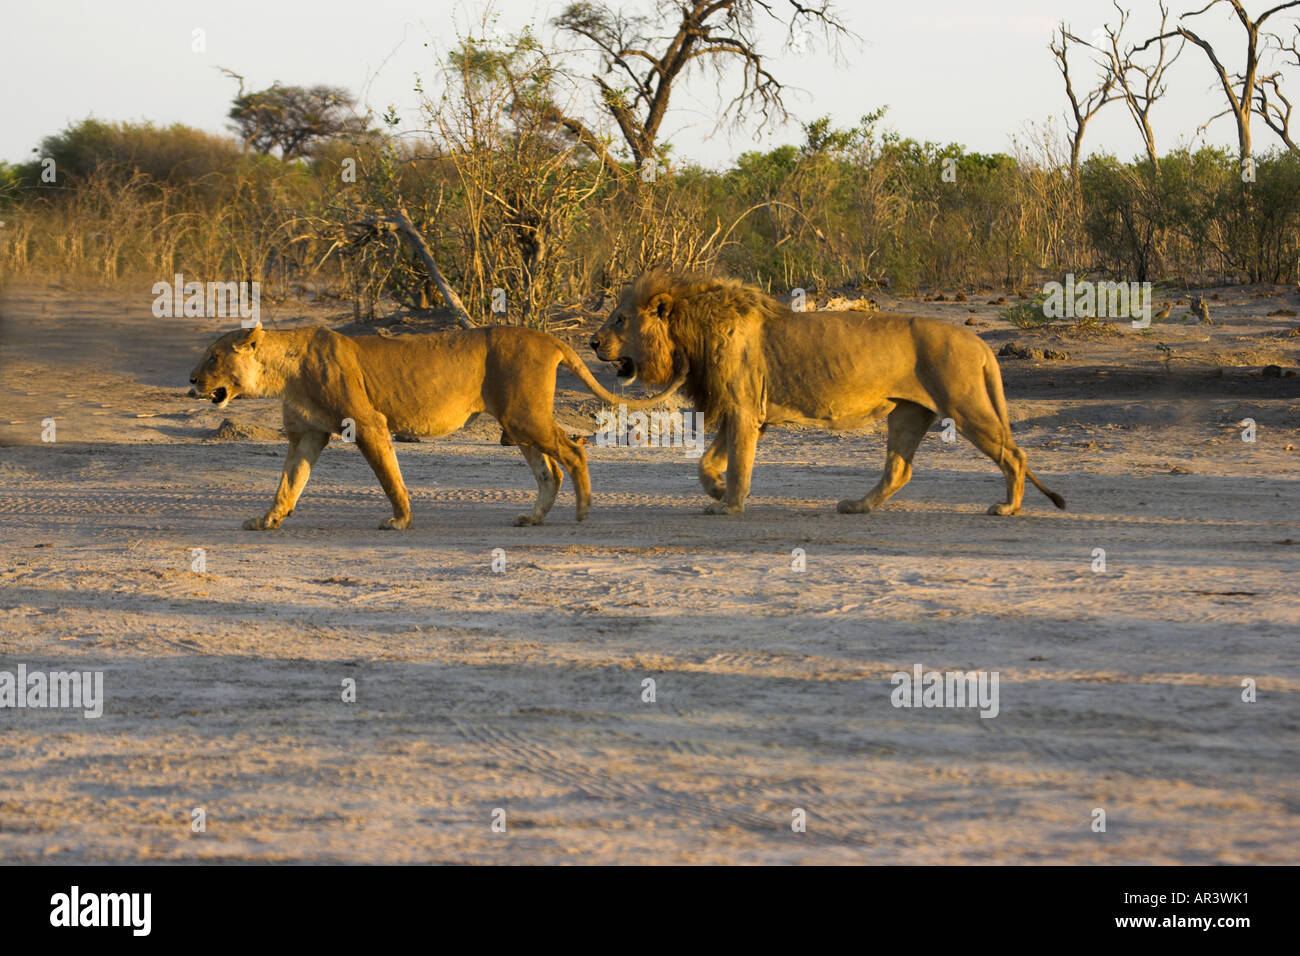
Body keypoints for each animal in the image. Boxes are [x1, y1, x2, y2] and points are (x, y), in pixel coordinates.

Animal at [189, 323, 683, 529]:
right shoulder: (307, 435)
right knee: (550, 472)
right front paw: (267, 520)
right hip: (518, 420)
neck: (284, 370)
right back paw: (533, 518)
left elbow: (390, 477)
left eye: (214, 356)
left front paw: (400, 520)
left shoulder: (367, 423)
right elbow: (288, 483)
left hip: (526, 416)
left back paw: (581, 512)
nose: (191, 380)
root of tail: (547, 337)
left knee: (574, 452)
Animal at [590, 270, 1065, 517]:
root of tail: (980, 343)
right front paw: (716, 492)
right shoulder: (742, 413)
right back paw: (857, 506)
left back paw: (1008, 508)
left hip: (964, 406)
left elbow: (739, 464)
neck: (690, 330)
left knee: (1015, 455)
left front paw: (730, 504)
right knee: (899, 470)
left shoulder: (743, 411)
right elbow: (707, 463)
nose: (593, 343)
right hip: (908, 414)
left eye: (619, 319)